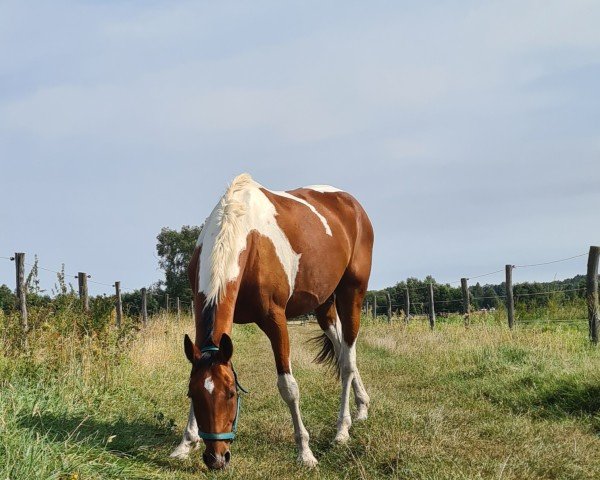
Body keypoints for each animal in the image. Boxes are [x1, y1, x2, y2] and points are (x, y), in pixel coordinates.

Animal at [169, 173, 372, 468]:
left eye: (231, 393)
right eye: (192, 395)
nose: (216, 458)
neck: (245, 235)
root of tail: (352, 204)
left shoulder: (275, 319)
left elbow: (288, 387)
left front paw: (305, 452)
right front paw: (185, 443)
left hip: (352, 293)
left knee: (348, 361)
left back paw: (342, 431)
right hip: (324, 306)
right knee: (342, 350)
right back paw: (362, 406)